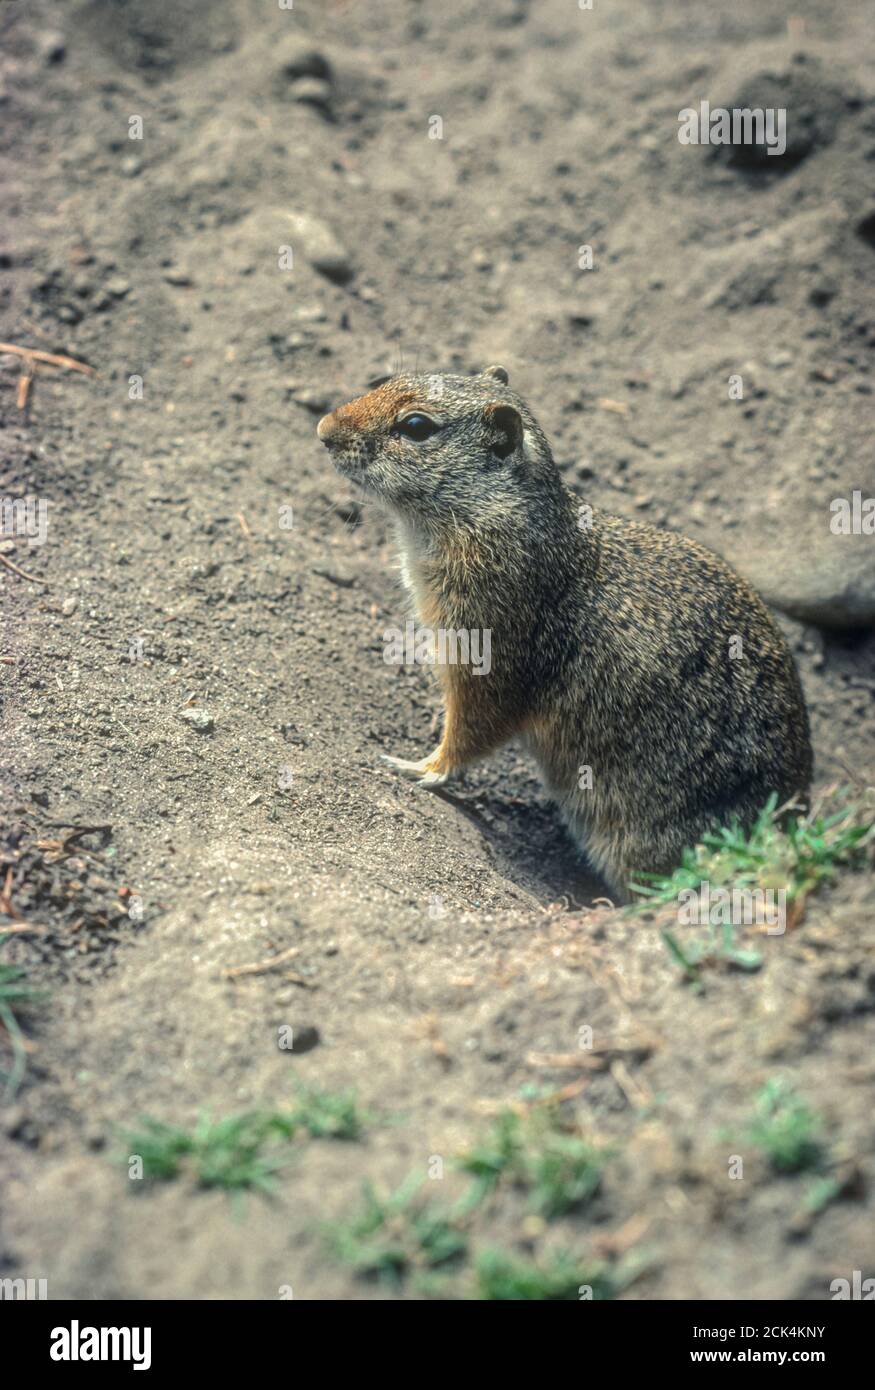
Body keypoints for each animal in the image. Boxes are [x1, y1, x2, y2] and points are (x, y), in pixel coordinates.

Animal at [315, 364, 812, 895]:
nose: (323, 429)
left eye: (415, 426)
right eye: (389, 379)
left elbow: (471, 732)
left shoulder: (487, 656)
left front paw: (419, 767)